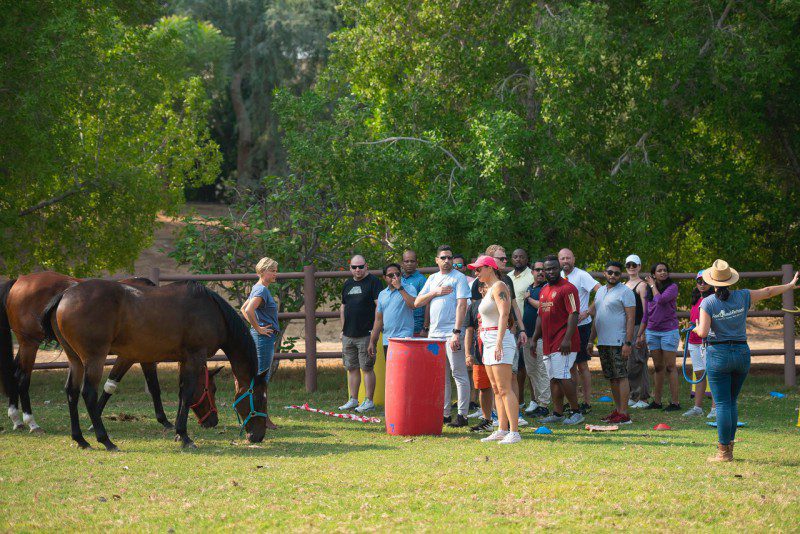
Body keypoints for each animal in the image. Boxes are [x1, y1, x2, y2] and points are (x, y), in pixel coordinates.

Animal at [0, 274, 206, 434]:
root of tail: (20, 280)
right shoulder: (133, 357)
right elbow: (150, 386)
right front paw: (165, 420)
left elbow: (116, 385)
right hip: (30, 343)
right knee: (23, 378)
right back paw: (31, 422)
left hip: (27, 345)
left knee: (14, 373)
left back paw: (16, 418)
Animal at [41, 280, 266, 452]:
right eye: (259, 399)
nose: (259, 436)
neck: (212, 310)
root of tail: (65, 294)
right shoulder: (194, 356)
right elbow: (188, 393)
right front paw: (184, 436)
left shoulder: (184, 359)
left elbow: (182, 393)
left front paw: (177, 433)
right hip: (94, 358)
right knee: (88, 393)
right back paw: (105, 440)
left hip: (75, 360)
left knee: (71, 391)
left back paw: (80, 439)